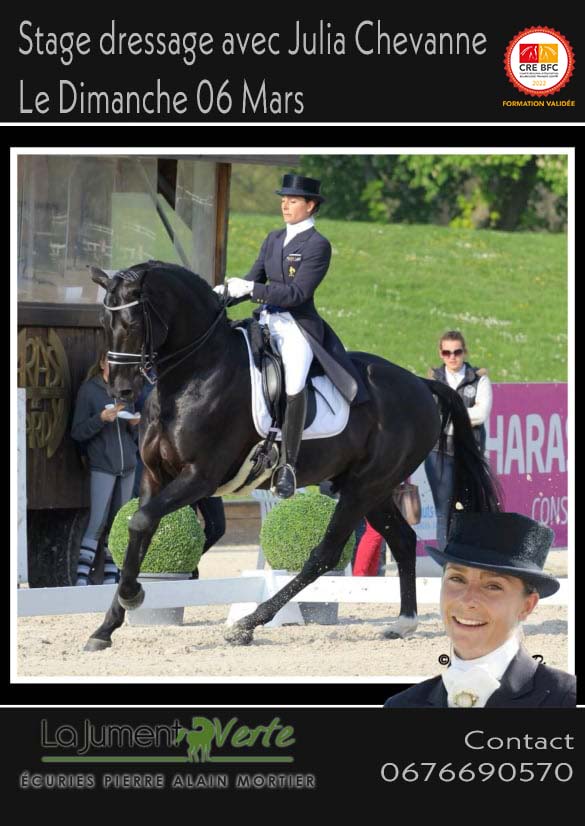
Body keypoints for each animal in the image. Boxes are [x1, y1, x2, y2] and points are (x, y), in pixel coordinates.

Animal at [84, 260, 500, 652]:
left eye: (133, 323)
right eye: (104, 321)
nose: (120, 390)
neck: (195, 373)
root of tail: (420, 383)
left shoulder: (200, 476)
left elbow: (140, 522)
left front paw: (132, 595)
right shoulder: (155, 476)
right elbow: (139, 529)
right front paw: (106, 628)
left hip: (364, 488)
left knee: (325, 554)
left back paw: (247, 624)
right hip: (374, 490)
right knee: (402, 540)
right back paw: (403, 623)